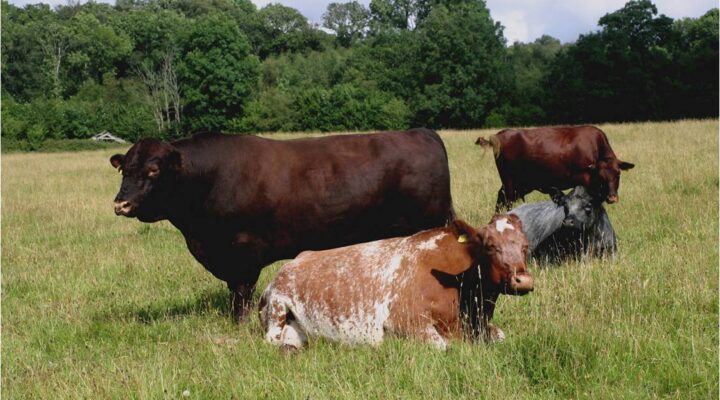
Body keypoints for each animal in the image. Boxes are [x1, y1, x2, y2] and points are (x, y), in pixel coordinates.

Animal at [256, 214, 532, 348]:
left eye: (525, 247)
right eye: (490, 247)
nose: (523, 280)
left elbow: (501, 335)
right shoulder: (405, 322)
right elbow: (443, 346)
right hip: (278, 306)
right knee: (273, 339)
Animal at [478, 126, 636, 211]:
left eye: (618, 174)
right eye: (601, 176)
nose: (612, 198)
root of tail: (500, 134)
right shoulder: (584, 181)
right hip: (510, 183)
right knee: (506, 202)